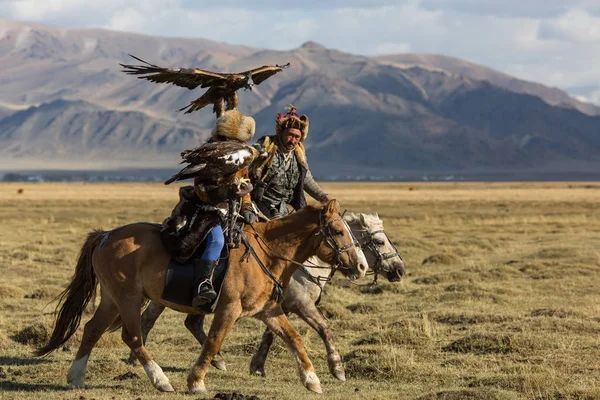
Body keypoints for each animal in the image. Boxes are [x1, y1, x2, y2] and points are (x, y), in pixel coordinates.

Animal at [37, 202, 368, 396]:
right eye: (337, 230)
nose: (361, 265)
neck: (265, 253)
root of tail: (105, 235)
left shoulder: (268, 310)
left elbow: (294, 338)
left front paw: (313, 379)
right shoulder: (229, 309)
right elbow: (213, 342)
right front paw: (196, 382)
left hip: (112, 299)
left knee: (92, 329)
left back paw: (76, 377)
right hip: (128, 298)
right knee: (132, 337)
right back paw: (161, 380)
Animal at [129, 212, 406, 382]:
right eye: (379, 241)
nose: (400, 270)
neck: (306, 263)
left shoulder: (276, 307)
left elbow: (272, 335)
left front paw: (258, 365)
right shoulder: (301, 305)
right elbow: (324, 328)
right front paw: (337, 369)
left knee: (190, 323)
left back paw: (217, 360)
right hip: (164, 298)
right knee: (148, 320)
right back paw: (135, 359)